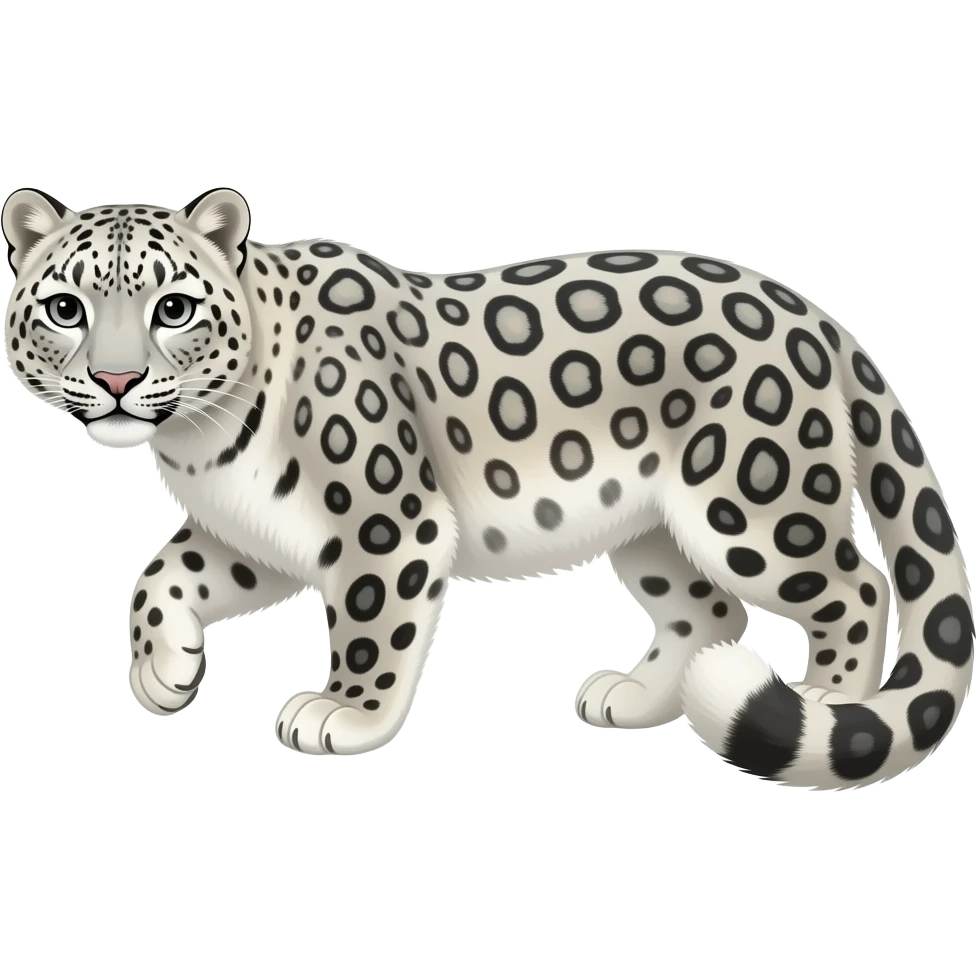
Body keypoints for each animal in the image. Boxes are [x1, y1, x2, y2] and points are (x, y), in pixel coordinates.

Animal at [2, 185, 973, 788]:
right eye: (64, 308)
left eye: (173, 307)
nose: (117, 380)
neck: (199, 441)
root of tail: (809, 309)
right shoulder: (262, 535)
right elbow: (158, 575)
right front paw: (164, 674)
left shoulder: (385, 523)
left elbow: (370, 626)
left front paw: (342, 715)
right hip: (652, 531)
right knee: (709, 612)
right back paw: (633, 698)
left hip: (750, 501)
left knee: (857, 583)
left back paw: (828, 698)